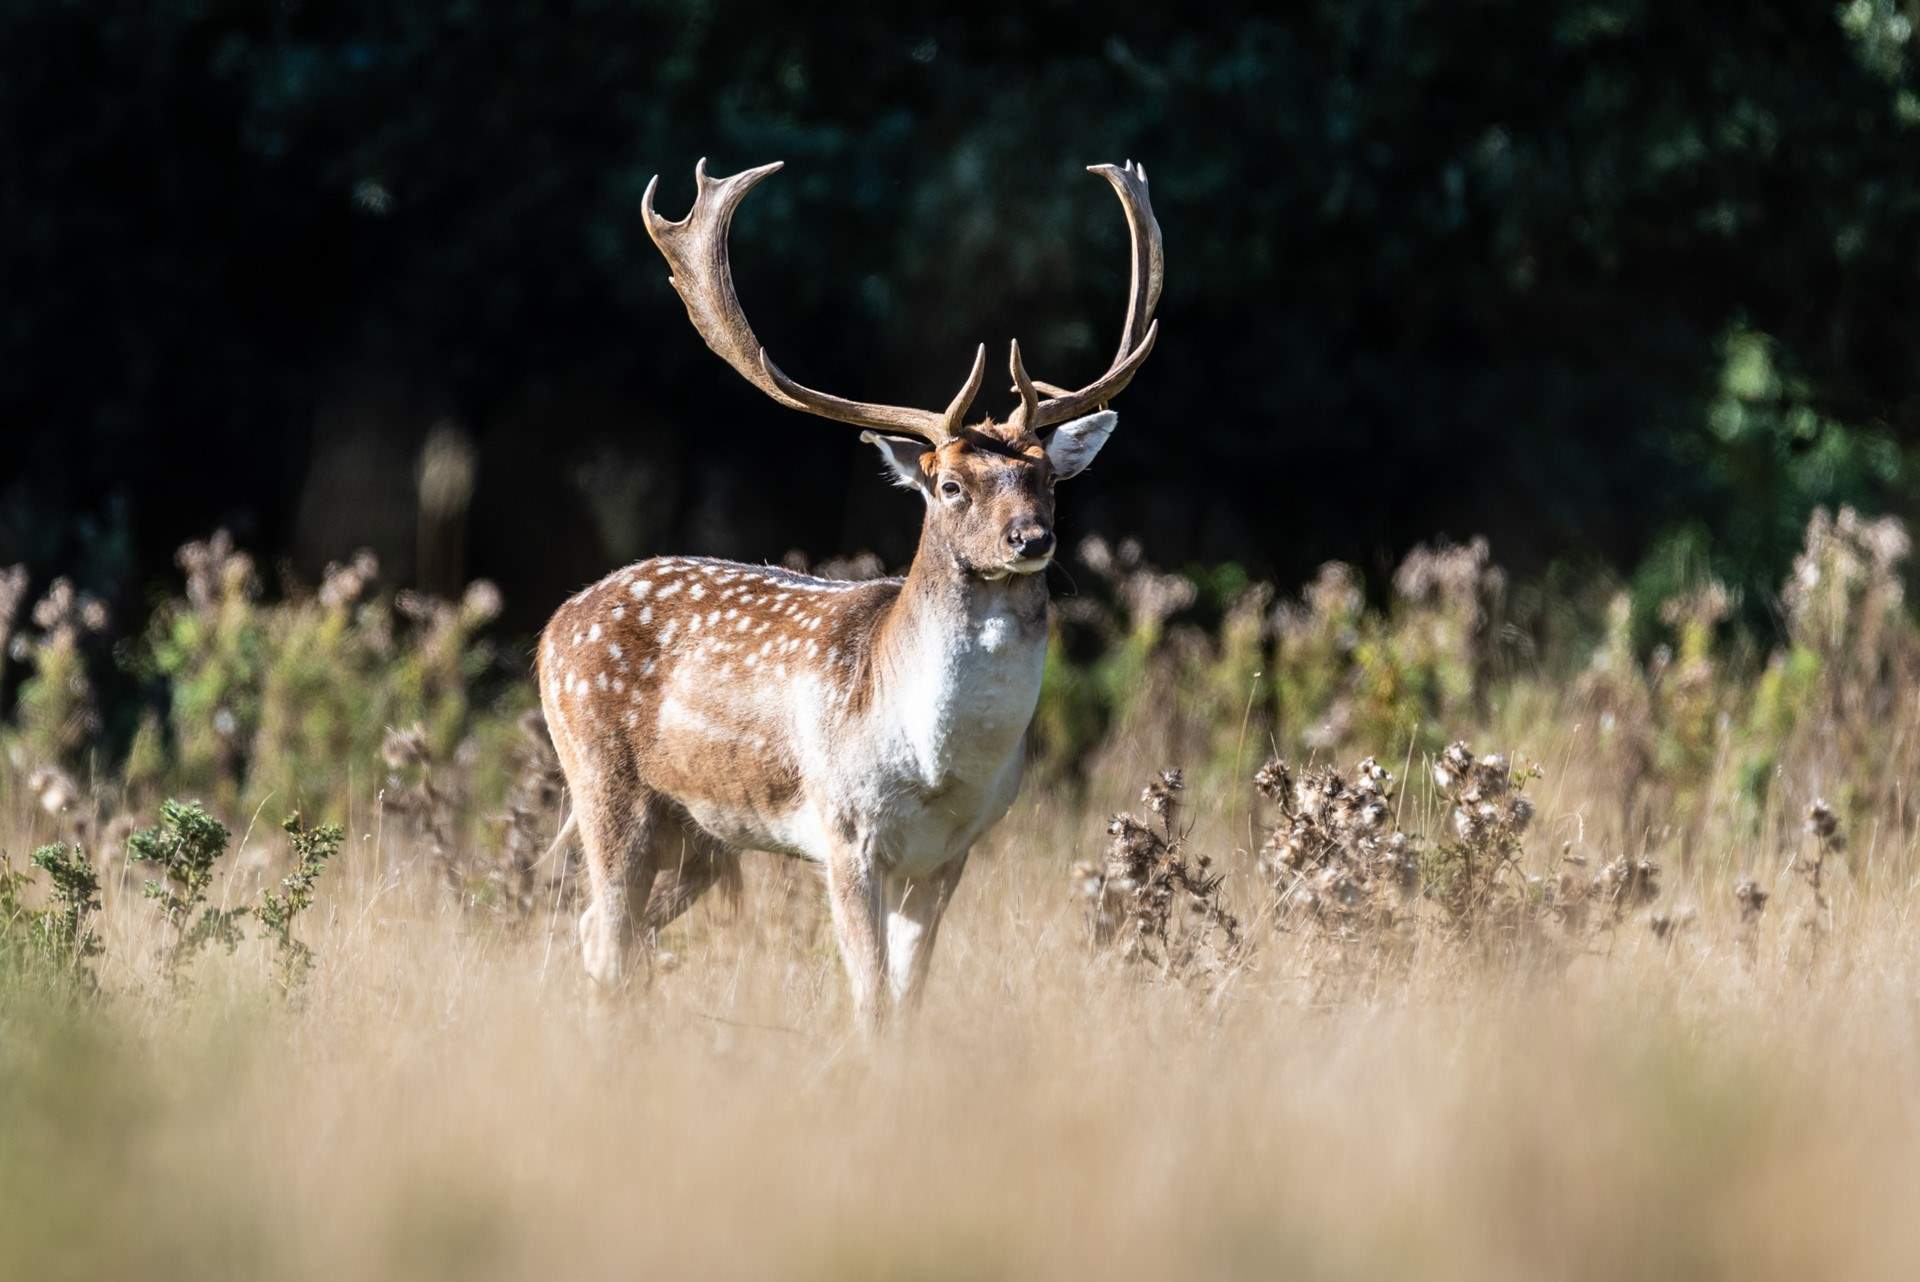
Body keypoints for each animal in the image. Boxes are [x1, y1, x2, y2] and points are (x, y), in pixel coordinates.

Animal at [538, 156, 1161, 1030]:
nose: (1031, 539)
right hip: (602, 778)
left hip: (699, 834)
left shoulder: (953, 854)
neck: (936, 770)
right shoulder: (844, 833)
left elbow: (907, 1000)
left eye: (1046, 477)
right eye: (948, 485)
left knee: (604, 929)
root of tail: (556, 621)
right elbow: (868, 1000)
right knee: (604, 928)